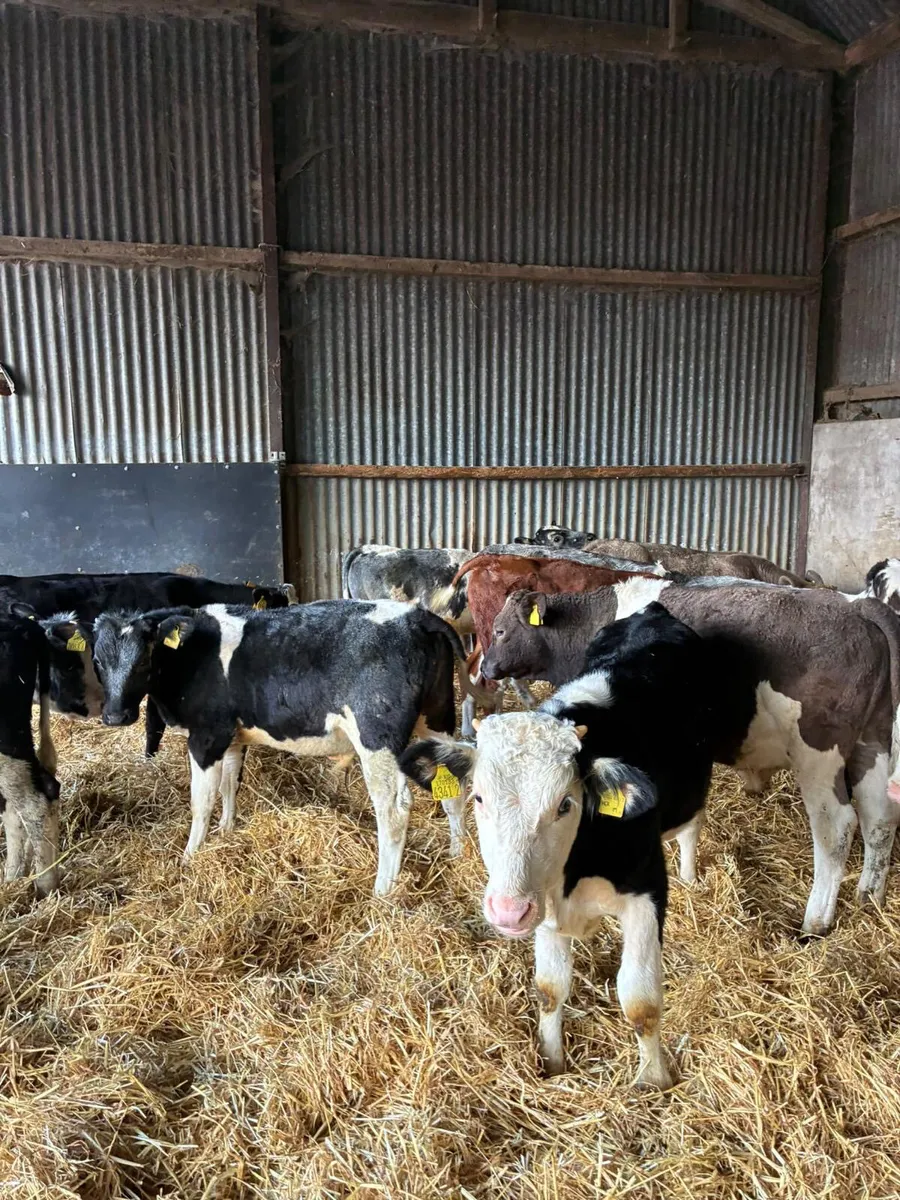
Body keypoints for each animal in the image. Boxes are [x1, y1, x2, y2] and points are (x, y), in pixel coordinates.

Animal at [90, 600, 476, 894]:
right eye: (97, 661)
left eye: (144, 659)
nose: (115, 715)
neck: (191, 656)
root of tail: (416, 614)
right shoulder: (233, 736)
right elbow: (230, 784)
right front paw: (226, 830)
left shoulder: (207, 735)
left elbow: (201, 801)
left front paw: (190, 856)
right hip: (438, 717)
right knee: (452, 787)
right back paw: (457, 853)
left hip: (377, 735)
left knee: (394, 810)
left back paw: (383, 890)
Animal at [401, 606, 757, 1086]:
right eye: (478, 797)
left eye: (565, 804)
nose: (508, 911)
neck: (573, 873)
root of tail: (653, 612)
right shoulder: (543, 902)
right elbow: (550, 989)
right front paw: (552, 1062)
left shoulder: (647, 892)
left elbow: (640, 1000)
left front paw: (653, 1082)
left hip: (696, 785)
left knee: (691, 825)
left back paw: (690, 876)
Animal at [480, 579, 900, 936]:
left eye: (499, 631)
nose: (485, 668)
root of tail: (857, 607)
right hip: (874, 742)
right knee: (879, 817)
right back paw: (869, 897)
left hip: (818, 754)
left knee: (837, 828)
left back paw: (816, 921)